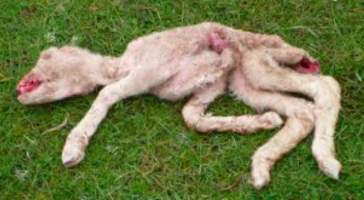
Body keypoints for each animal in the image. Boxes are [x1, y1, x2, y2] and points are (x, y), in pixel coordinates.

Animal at [17, 22, 342, 189]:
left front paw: (73, 148)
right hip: (245, 83)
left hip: (259, 60)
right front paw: (260, 122)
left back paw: (327, 161)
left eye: (45, 57)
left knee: (326, 86)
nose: (19, 88)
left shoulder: (152, 69)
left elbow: (108, 93)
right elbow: (191, 116)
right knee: (302, 111)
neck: (121, 65)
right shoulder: (211, 85)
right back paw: (262, 166)